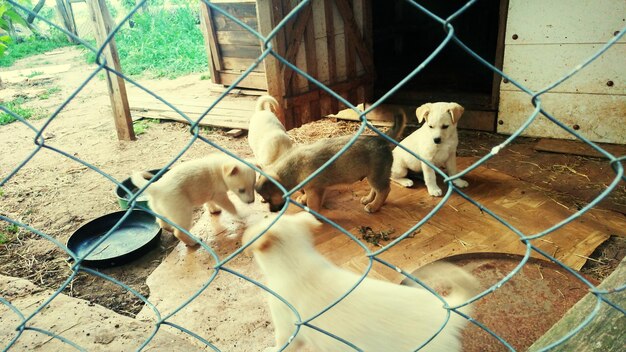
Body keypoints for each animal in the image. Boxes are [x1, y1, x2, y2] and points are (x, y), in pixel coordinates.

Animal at [254, 111, 404, 213]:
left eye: (268, 198)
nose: (272, 211)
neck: (293, 168)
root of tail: (382, 140)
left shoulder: (315, 189)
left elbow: (313, 203)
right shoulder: (310, 187)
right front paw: (303, 199)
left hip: (376, 175)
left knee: (384, 190)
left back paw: (374, 206)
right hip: (373, 175)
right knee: (376, 189)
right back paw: (368, 199)